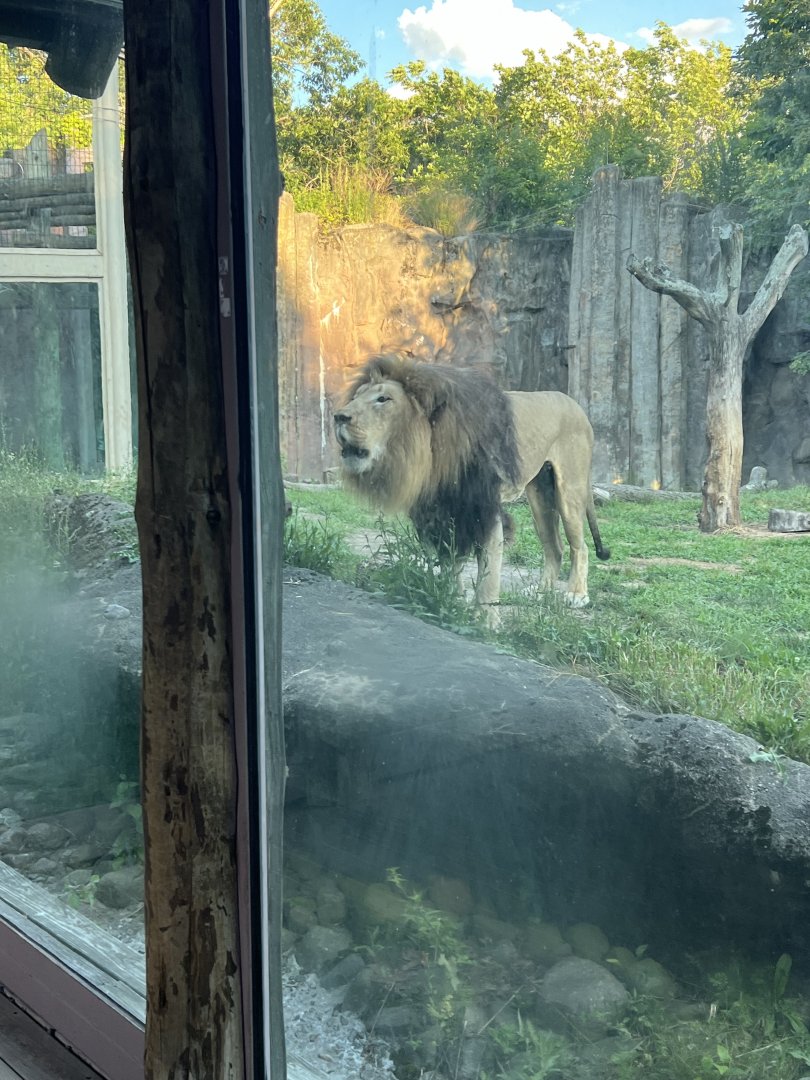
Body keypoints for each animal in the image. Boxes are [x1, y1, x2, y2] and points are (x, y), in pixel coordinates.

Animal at [333, 355, 609, 621]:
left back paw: (576, 595)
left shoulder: (484, 510)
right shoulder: (440, 512)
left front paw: (486, 622)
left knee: (580, 546)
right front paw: (450, 599)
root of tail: (574, 403)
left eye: (383, 399)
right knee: (555, 548)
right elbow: (450, 563)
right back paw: (540, 592)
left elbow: (488, 573)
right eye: (355, 398)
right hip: (540, 496)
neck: (428, 455)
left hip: (570, 489)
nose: (338, 416)